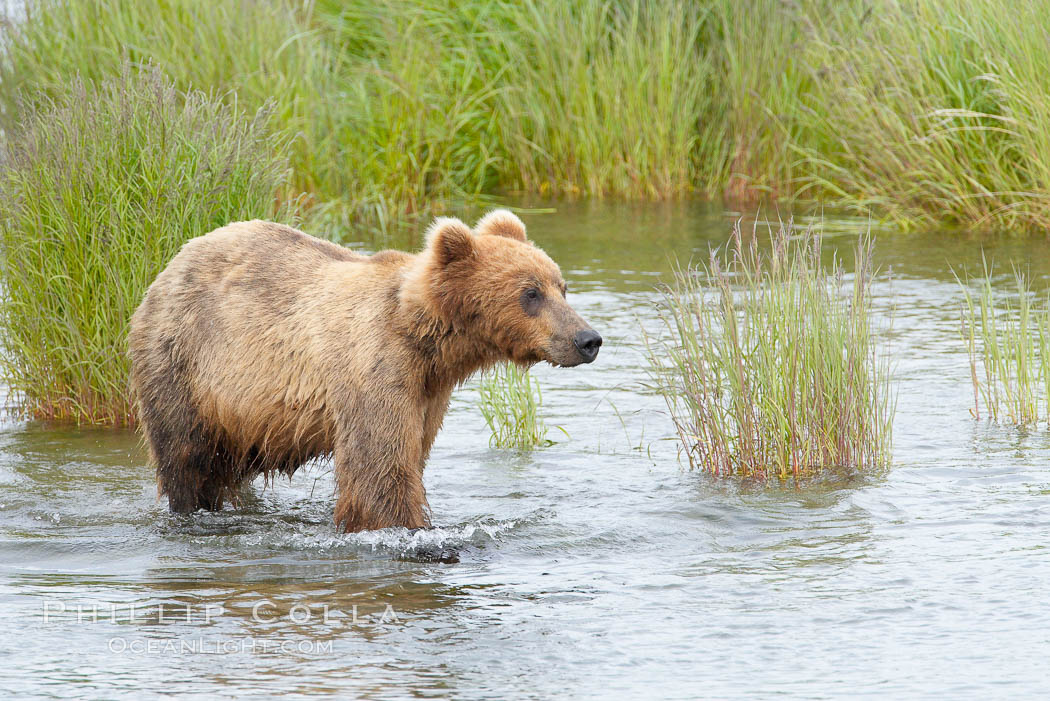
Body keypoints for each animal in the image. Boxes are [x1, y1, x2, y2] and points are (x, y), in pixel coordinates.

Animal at [124, 209, 600, 530]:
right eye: (530, 293)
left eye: (561, 287)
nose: (588, 339)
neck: (428, 340)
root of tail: (172, 264)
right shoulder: (375, 368)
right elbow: (380, 468)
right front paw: (412, 532)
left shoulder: (429, 394)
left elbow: (411, 453)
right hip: (183, 365)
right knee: (188, 459)